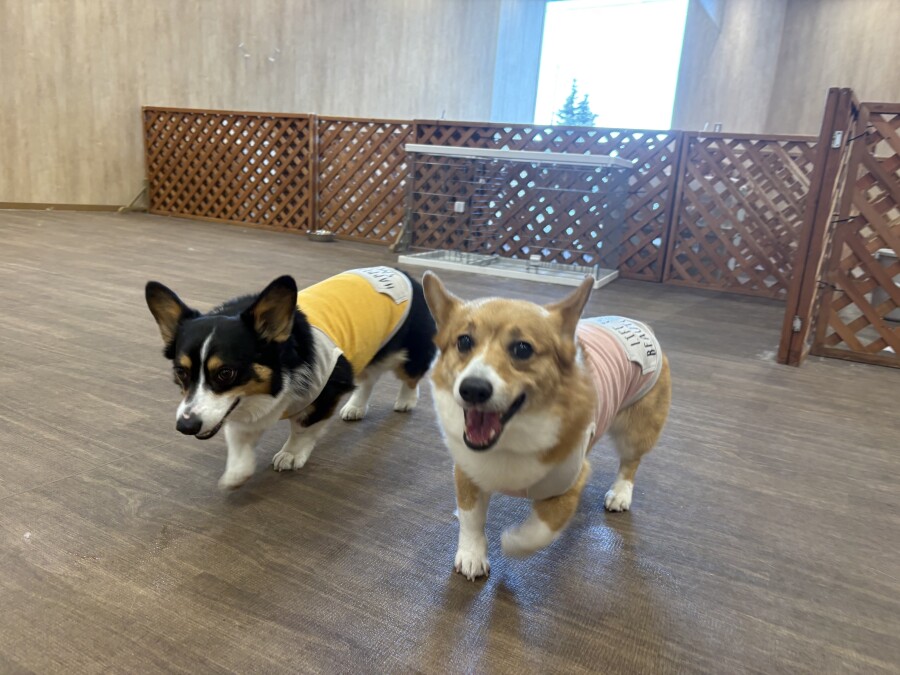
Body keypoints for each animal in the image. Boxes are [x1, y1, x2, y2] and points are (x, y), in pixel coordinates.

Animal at [145, 266, 436, 489]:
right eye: (181, 372)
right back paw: (355, 407)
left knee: (412, 376)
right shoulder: (238, 412)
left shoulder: (326, 392)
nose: (186, 426)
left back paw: (406, 400)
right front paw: (236, 473)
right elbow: (239, 442)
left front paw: (291, 454)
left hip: (405, 353)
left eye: (226, 373)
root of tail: (403, 273)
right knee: (368, 379)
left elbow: (302, 428)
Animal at [422, 272, 671, 580]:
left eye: (522, 348)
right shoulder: (467, 472)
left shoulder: (569, 482)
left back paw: (621, 493)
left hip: (635, 430)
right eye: (464, 342)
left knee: (630, 462)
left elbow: (542, 528)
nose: (473, 389)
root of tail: (638, 324)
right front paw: (471, 555)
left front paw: (513, 541)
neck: (510, 441)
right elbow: (471, 519)